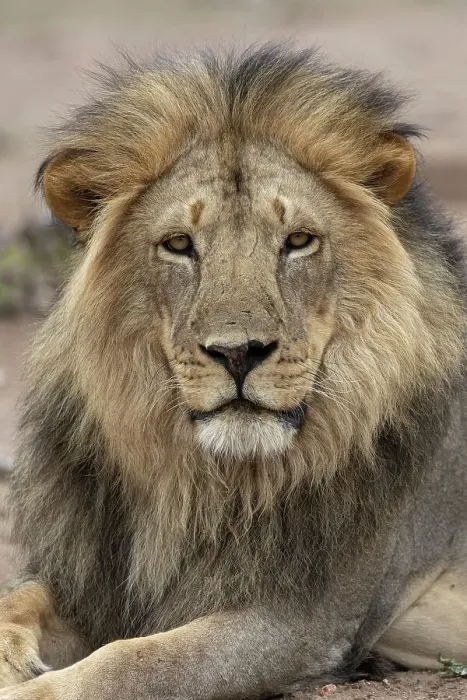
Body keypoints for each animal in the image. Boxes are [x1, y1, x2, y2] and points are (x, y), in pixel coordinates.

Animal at [0, 43, 466, 700]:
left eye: (298, 240)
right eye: (178, 244)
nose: (238, 352)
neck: (204, 481)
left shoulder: (304, 621)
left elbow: (136, 661)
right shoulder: (97, 576)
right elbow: (20, 598)